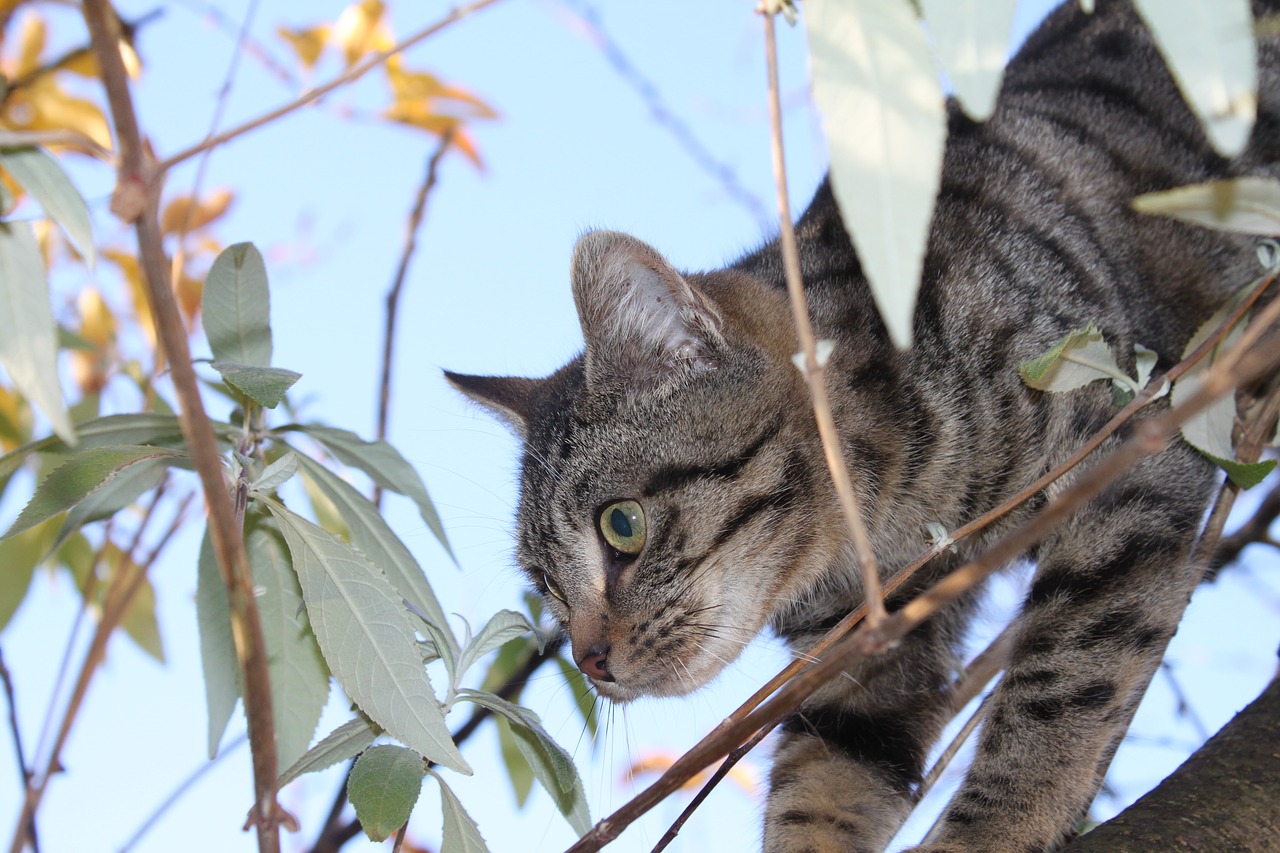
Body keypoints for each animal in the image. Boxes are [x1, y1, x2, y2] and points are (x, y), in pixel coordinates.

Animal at [448, 3, 1280, 845]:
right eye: (547, 586)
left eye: (623, 525)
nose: (588, 659)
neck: (891, 512)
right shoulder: (868, 649)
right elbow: (824, 784)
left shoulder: (1130, 455)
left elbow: (1064, 682)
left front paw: (992, 829)